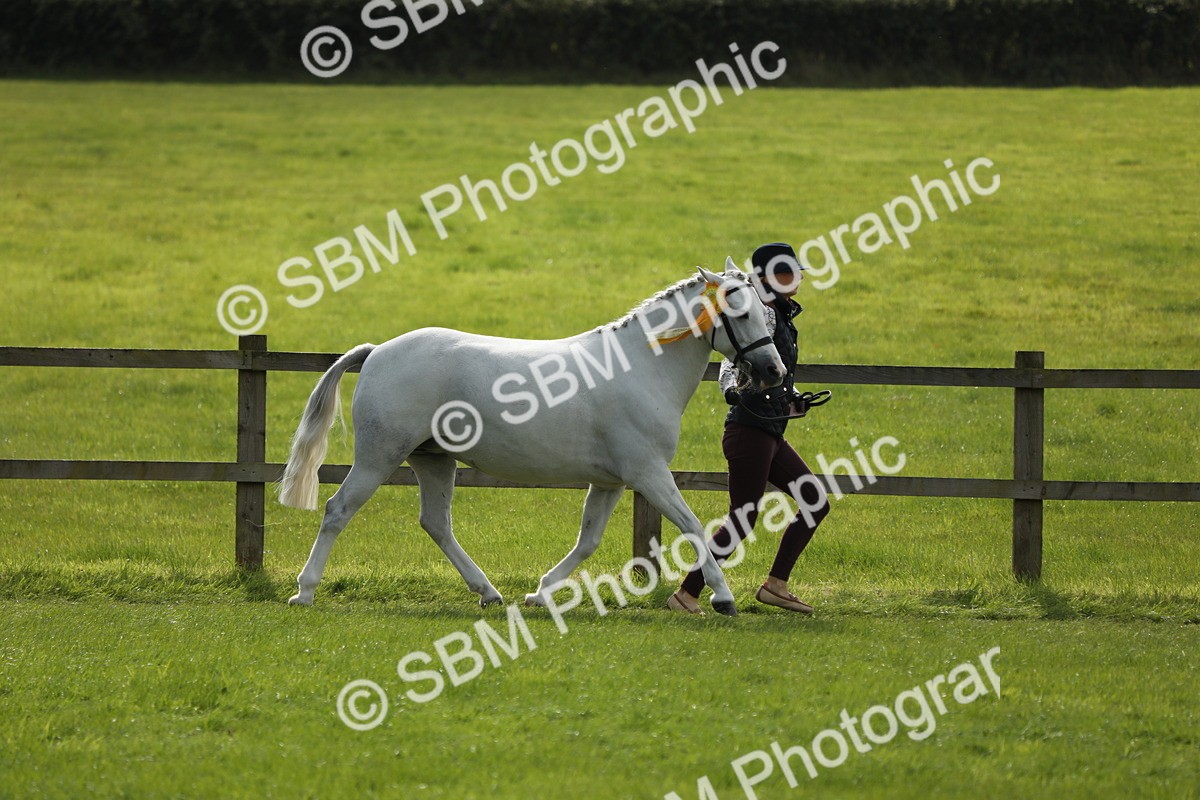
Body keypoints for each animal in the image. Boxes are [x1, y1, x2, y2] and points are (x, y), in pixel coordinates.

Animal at [278, 259, 785, 616]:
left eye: (767, 312)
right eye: (738, 310)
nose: (774, 371)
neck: (639, 367)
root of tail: (378, 351)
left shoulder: (611, 481)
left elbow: (588, 540)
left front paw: (540, 593)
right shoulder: (649, 473)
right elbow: (694, 526)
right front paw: (723, 598)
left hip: (433, 459)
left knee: (436, 523)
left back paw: (488, 592)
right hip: (379, 457)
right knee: (337, 510)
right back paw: (305, 592)